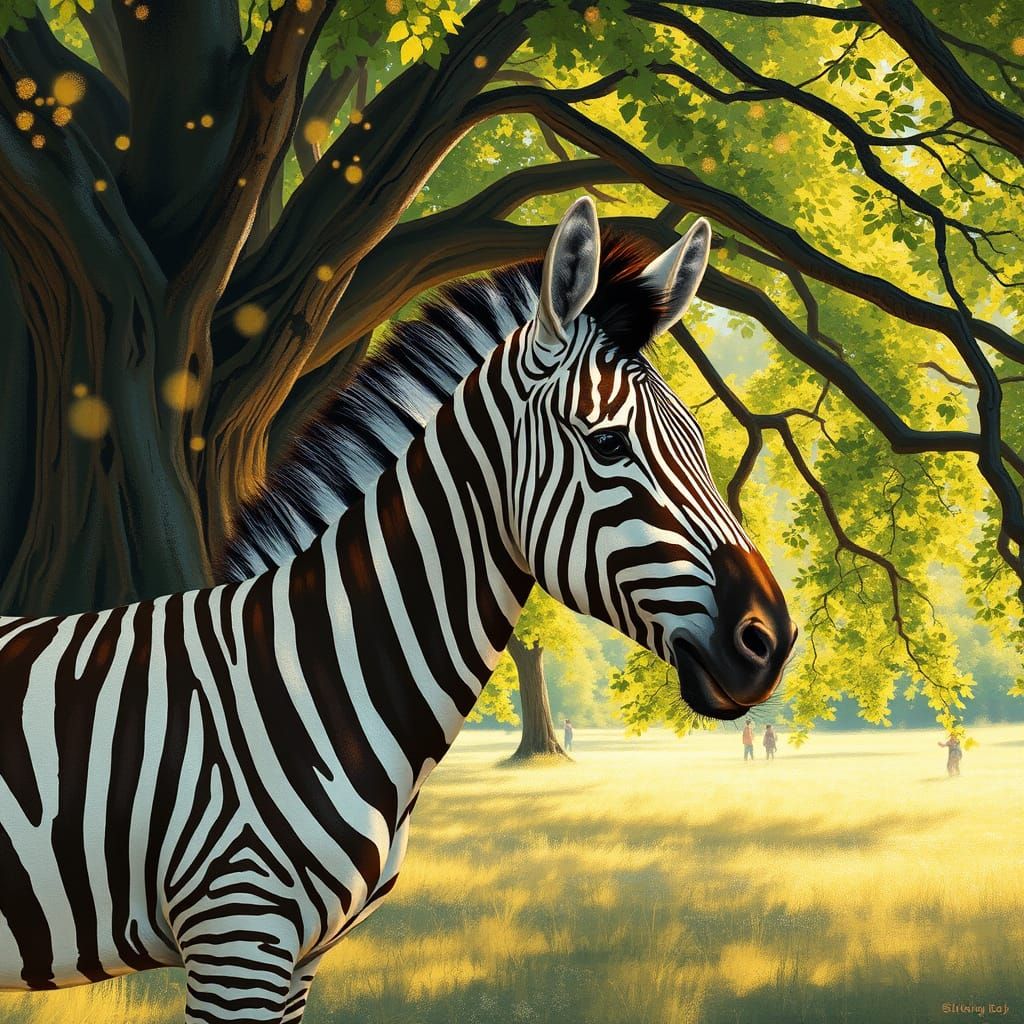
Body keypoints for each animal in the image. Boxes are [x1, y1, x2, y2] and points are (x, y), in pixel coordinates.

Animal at [0, 197, 795, 1021]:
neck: (309, 679)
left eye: (700, 438)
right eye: (608, 445)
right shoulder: (237, 935)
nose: (771, 640)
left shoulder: (298, 960)